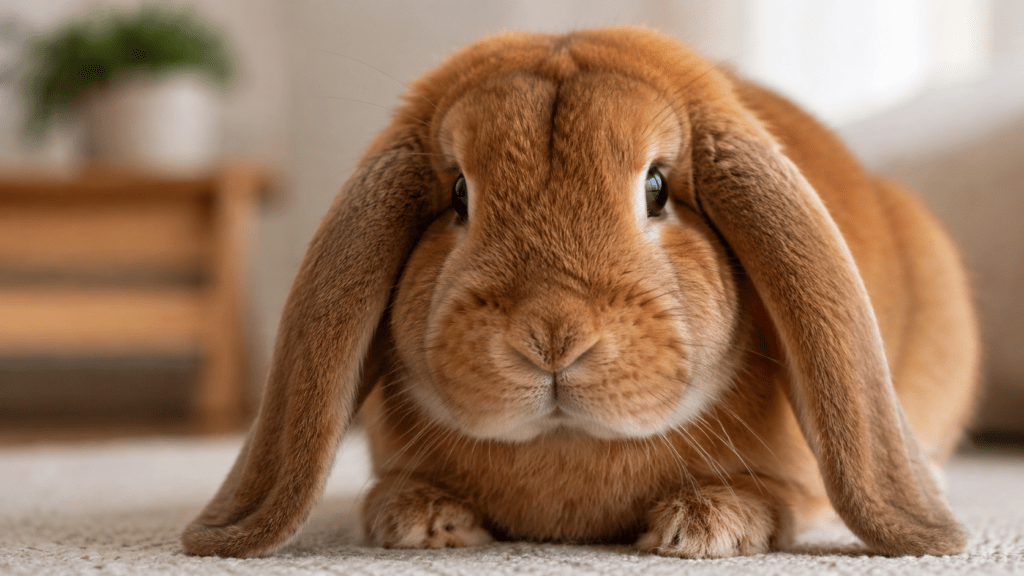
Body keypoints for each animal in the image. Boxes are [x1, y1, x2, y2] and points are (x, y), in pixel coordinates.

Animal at [181, 26, 979, 559]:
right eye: (460, 193)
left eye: (657, 188)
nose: (552, 337)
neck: (567, 451)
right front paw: (419, 519)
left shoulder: (798, 482)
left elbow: (780, 497)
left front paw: (704, 528)